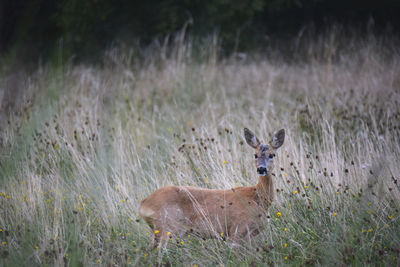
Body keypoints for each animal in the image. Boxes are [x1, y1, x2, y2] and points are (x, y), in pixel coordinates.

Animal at [139, 129, 286, 248]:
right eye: (255, 155)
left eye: (272, 154)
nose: (261, 169)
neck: (258, 198)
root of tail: (144, 204)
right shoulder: (238, 230)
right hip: (169, 227)